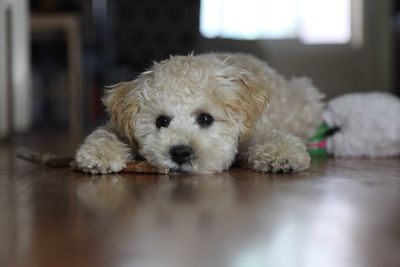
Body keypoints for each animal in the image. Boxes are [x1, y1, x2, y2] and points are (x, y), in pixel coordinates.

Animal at [75, 52, 324, 175]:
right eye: (161, 121)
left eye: (206, 118)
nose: (180, 152)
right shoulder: (119, 127)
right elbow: (106, 134)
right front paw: (97, 154)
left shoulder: (256, 127)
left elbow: (272, 137)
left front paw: (282, 154)